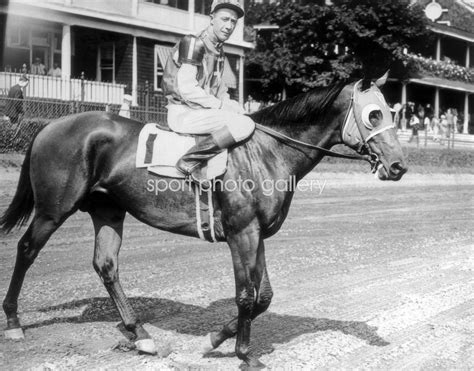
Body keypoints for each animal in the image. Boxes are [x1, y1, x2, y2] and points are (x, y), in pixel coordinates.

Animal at [0, 75, 408, 370]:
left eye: (392, 113)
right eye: (374, 114)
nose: (398, 166)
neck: (265, 151)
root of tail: (50, 125)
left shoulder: (257, 234)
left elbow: (264, 297)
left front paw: (216, 339)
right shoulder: (242, 233)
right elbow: (246, 296)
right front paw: (243, 353)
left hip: (108, 210)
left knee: (107, 265)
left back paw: (140, 334)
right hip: (53, 209)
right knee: (26, 249)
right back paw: (14, 323)